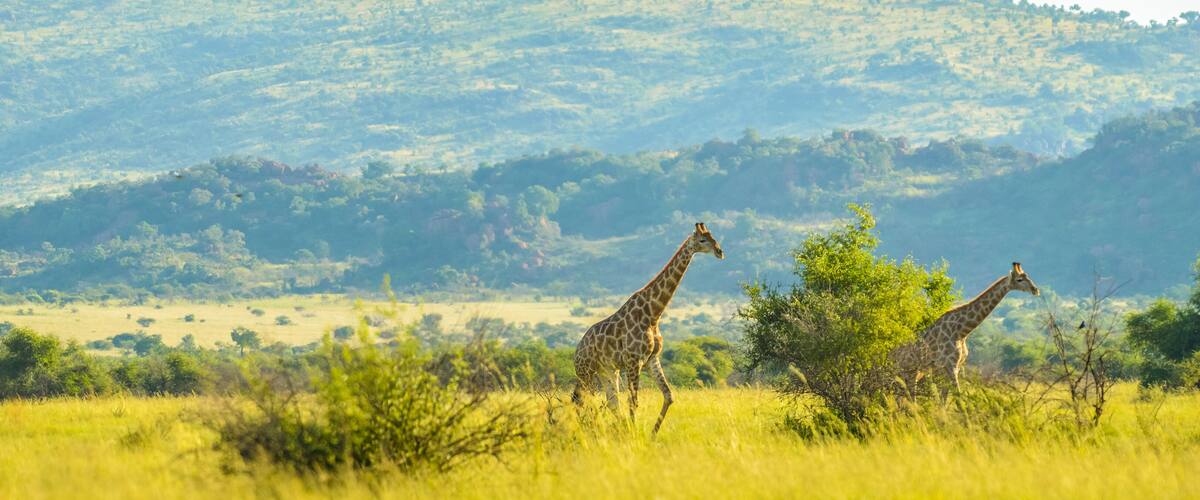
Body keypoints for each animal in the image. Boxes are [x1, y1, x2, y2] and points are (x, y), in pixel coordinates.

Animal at [572, 222, 724, 434]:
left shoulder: (652, 359)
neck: (653, 314)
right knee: (580, 400)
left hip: (607, 371)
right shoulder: (633, 361)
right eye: (703, 240)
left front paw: (651, 434)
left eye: (713, 237)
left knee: (610, 402)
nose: (720, 252)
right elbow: (633, 401)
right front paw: (636, 434)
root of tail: (577, 349)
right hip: (586, 371)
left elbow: (669, 396)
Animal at [893, 262, 1040, 393]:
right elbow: (958, 395)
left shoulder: (954, 366)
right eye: (1020, 279)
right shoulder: (949, 366)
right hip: (909, 371)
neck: (961, 332)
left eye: (1028, 276)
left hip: (914, 373)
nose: (1036, 290)